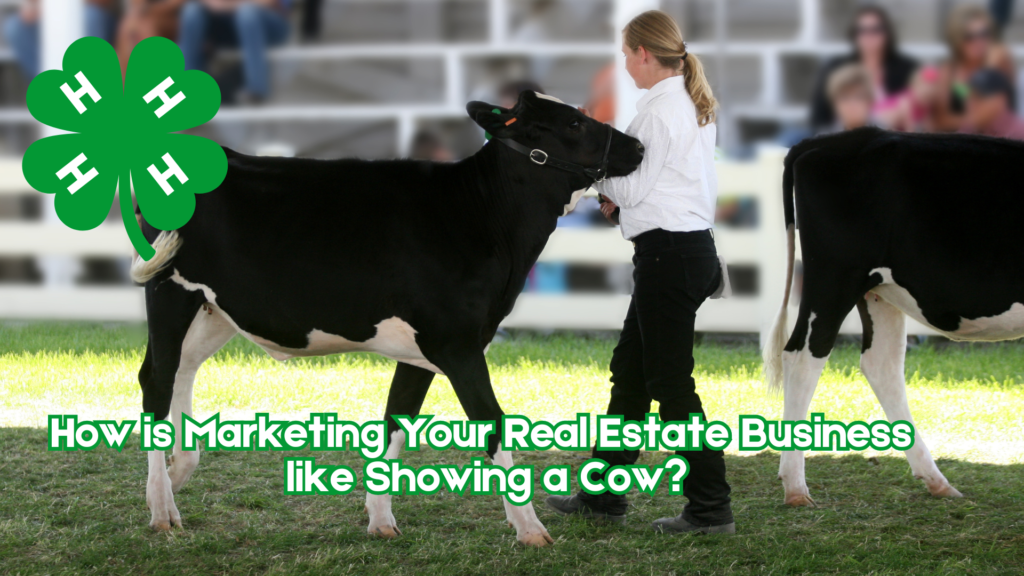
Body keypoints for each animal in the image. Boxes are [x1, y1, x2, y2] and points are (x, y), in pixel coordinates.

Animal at [128, 89, 638, 541]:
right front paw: (530, 529)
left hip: (213, 308)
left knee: (182, 370)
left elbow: (397, 420)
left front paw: (380, 520)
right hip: (168, 291)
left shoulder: (424, 350)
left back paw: (177, 475)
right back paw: (161, 508)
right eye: (573, 123)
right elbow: (492, 423)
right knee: (157, 382)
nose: (637, 146)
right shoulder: (456, 341)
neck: (481, 216)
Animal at [761, 127, 1024, 504]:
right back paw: (796, 487)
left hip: (879, 290)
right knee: (803, 357)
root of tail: (833, 140)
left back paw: (936, 480)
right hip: (835, 277)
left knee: (881, 364)